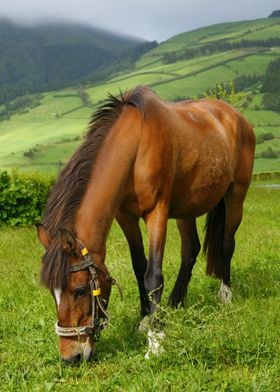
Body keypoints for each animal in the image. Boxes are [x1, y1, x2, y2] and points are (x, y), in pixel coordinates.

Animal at [37, 86, 256, 362]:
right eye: (51, 292)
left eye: (79, 290)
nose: (71, 357)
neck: (137, 146)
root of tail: (236, 117)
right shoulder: (125, 217)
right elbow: (139, 266)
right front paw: (145, 320)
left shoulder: (157, 213)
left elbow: (153, 275)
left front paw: (156, 339)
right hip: (186, 207)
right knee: (191, 249)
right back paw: (175, 303)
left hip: (236, 195)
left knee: (227, 244)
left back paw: (225, 295)